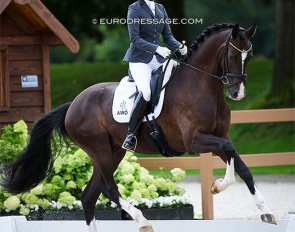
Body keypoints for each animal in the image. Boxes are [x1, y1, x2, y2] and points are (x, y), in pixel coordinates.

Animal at [0, 22, 278, 232]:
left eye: (250, 57)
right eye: (232, 56)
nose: (237, 94)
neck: (202, 85)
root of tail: (72, 105)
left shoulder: (218, 135)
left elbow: (241, 166)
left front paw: (266, 212)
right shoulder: (194, 141)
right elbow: (229, 152)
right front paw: (217, 186)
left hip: (113, 151)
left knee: (89, 197)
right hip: (99, 149)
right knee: (109, 189)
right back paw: (142, 221)